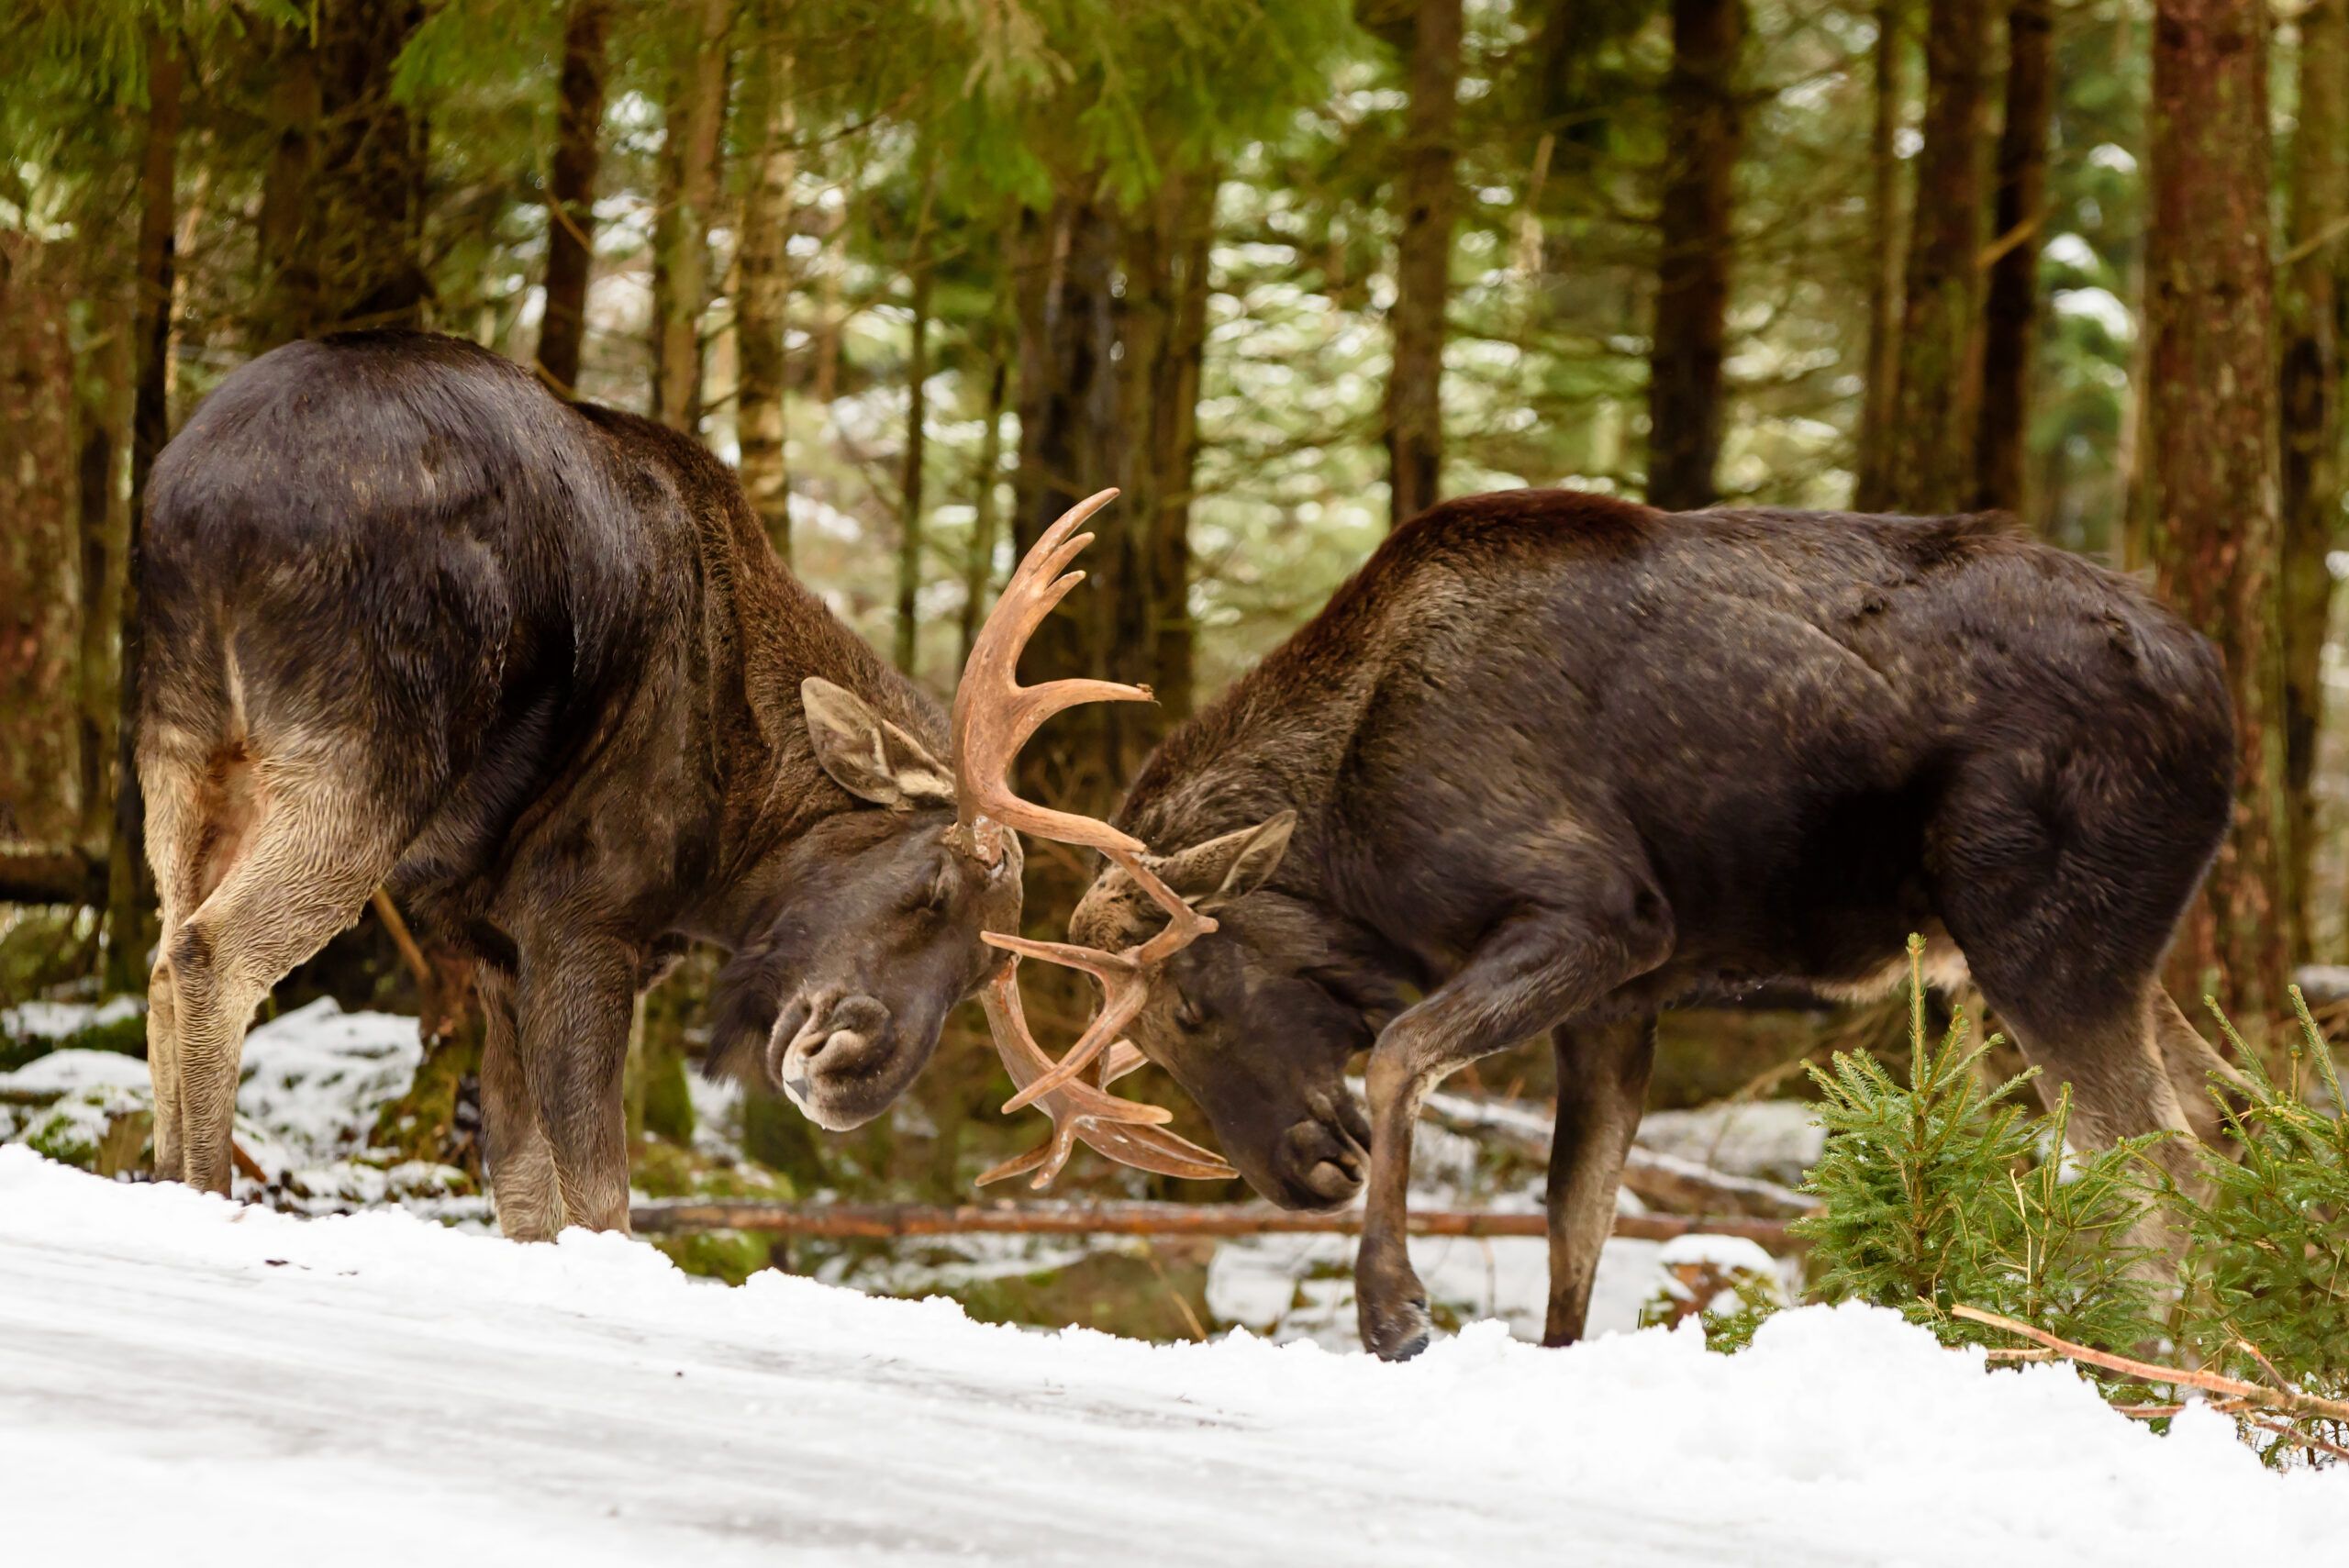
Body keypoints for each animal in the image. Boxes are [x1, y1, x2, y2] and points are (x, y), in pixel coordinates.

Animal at [135, 333, 1221, 1239]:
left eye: (982, 977)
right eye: (936, 884)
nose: (850, 1077)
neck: (731, 843)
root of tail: (211, 504)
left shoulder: (493, 948)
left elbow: (525, 1188)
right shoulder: (581, 921)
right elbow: (602, 1196)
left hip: (183, 747)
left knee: (158, 955)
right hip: (364, 752)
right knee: (211, 952)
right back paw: (208, 1194)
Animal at [986, 485, 2236, 1361]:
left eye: (1192, 1006)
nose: (1299, 1175)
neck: (1352, 832)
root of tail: (2219, 689)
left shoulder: (1603, 916)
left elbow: (1398, 1054)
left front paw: (1393, 1308)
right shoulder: (1617, 1005)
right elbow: (1573, 1229)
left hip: (2040, 941)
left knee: (2164, 1173)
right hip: (2109, 954)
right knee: (2223, 1123)